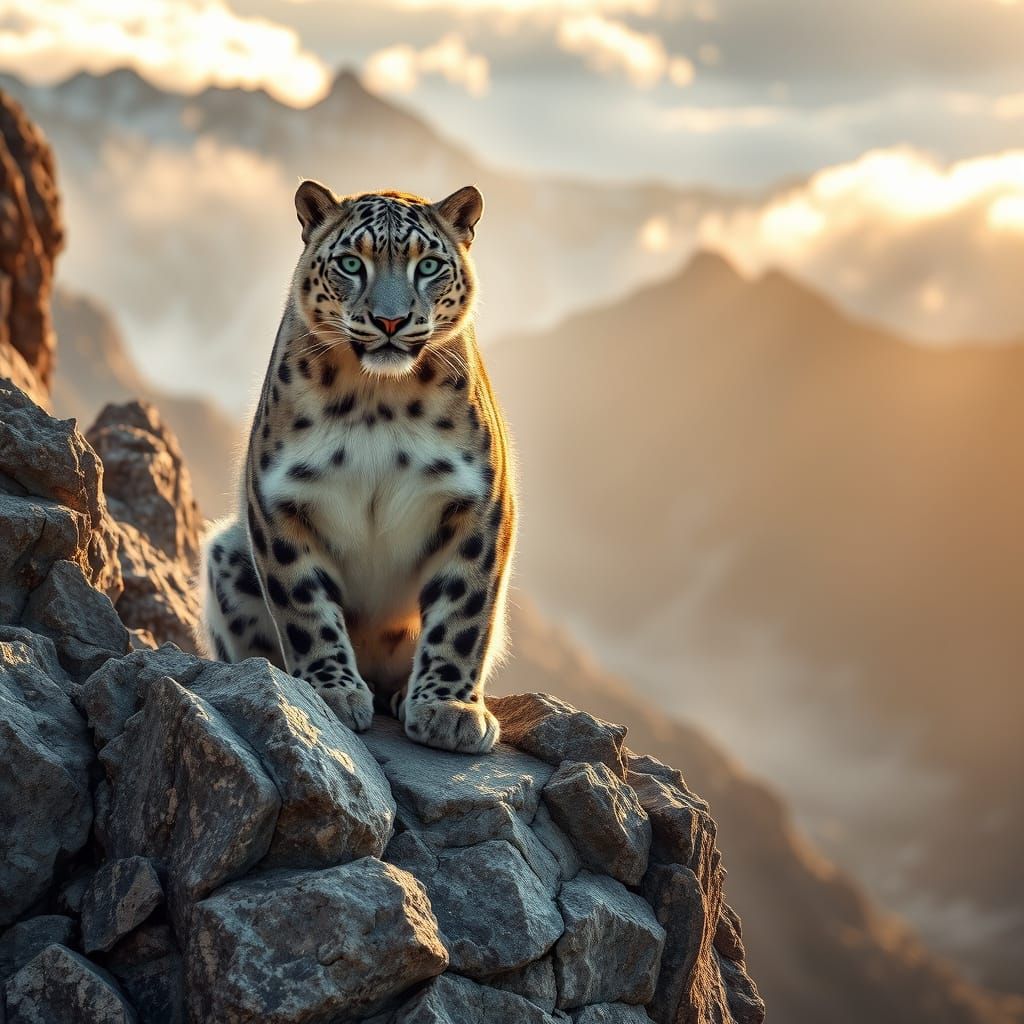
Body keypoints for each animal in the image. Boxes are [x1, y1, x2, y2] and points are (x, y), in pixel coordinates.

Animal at [196, 181, 516, 754]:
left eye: (428, 265)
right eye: (351, 262)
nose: (390, 321)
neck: (377, 401)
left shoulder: (479, 501)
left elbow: (463, 610)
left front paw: (449, 708)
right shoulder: (279, 500)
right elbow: (304, 606)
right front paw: (330, 692)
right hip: (227, 552)